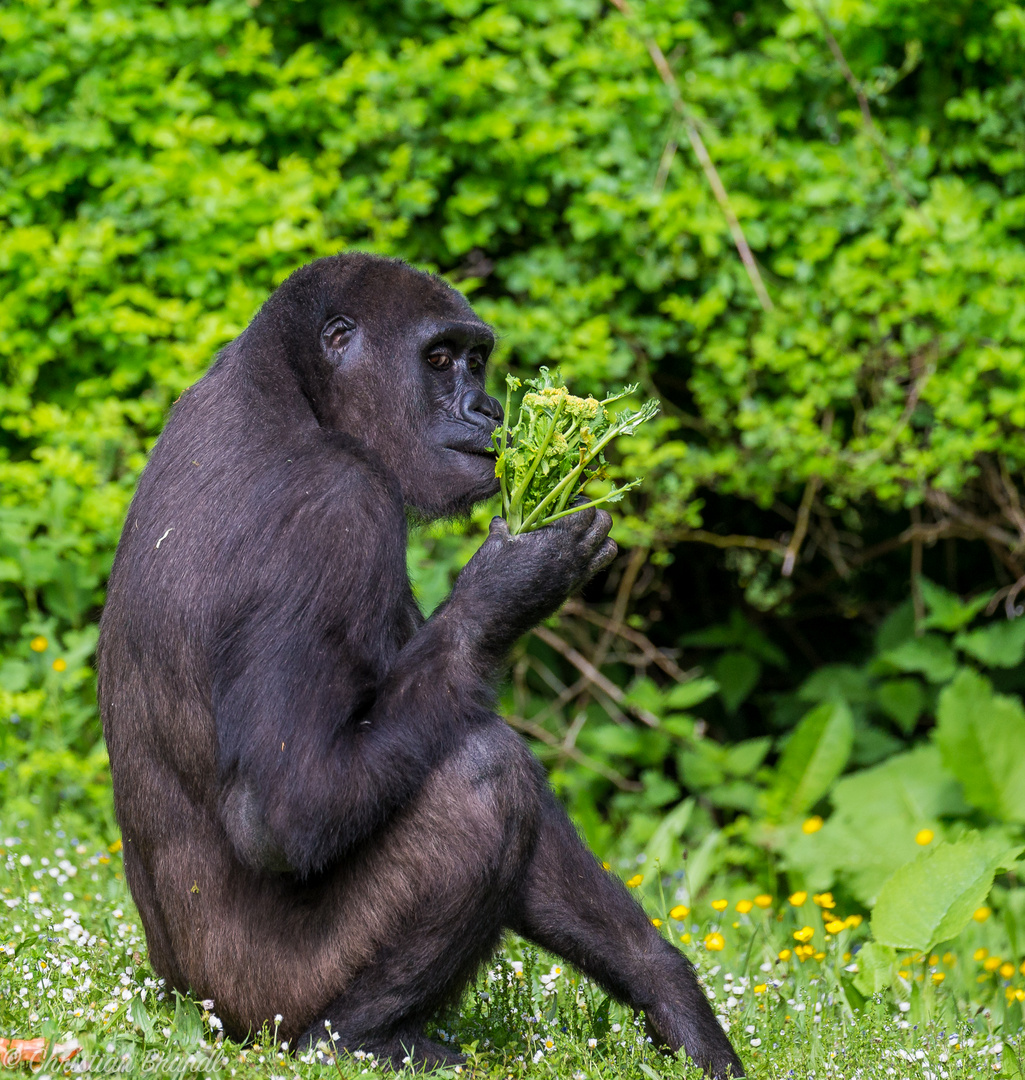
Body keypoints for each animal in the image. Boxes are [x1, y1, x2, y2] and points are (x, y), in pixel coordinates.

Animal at [99, 252, 743, 1080]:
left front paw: (671, 996)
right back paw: (353, 1037)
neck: (292, 391)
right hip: (258, 1006)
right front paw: (509, 584)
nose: (487, 409)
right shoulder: (337, 509)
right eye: (438, 360)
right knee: (481, 776)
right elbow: (287, 806)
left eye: (476, 360)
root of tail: (181, 1001)